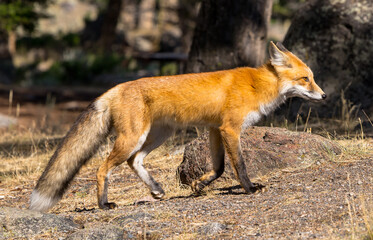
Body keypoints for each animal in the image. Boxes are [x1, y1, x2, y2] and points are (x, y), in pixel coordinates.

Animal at [29, 42, 326, 211]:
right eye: (305, 79)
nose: (324, 96)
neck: (258, 85)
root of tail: (115, 88)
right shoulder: (230, 128)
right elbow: (239, 165)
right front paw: (250, 189)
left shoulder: (214, 129)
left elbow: (219, 168)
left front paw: (199, 185)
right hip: (132, 138)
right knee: (102, 169)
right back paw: (103, 205)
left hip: (158, 136)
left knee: (135, 162)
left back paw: (156, 189)